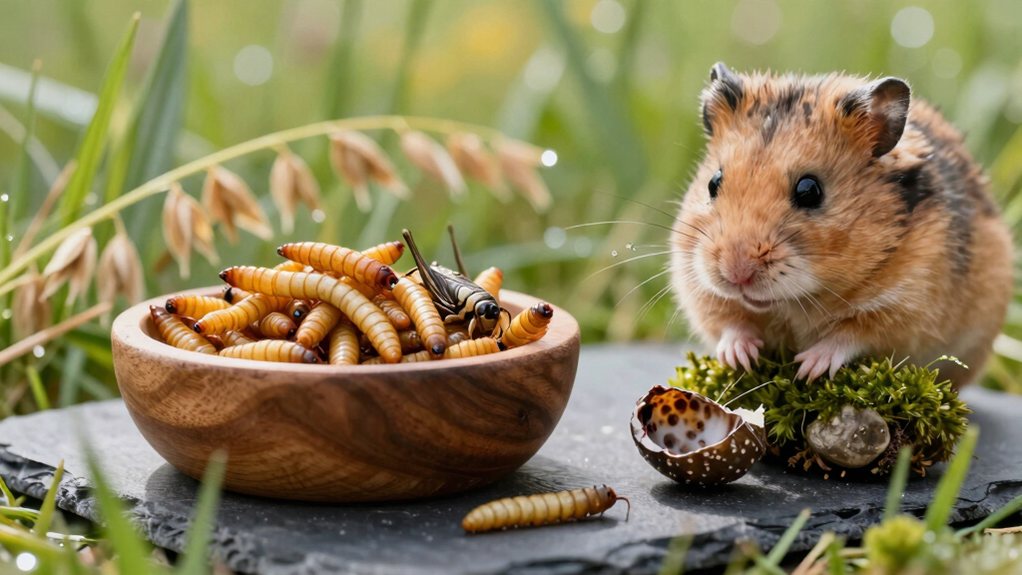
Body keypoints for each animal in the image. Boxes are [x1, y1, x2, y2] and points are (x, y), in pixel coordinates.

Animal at [670, 62, 1013, 386]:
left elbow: (851, 334)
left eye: (810, 191)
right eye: (713, 183)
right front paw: (740, 358)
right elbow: (730, 322)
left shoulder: (907, 305)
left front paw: (807, 368)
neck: (794, 302)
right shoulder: (695, 283)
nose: (736, 274)